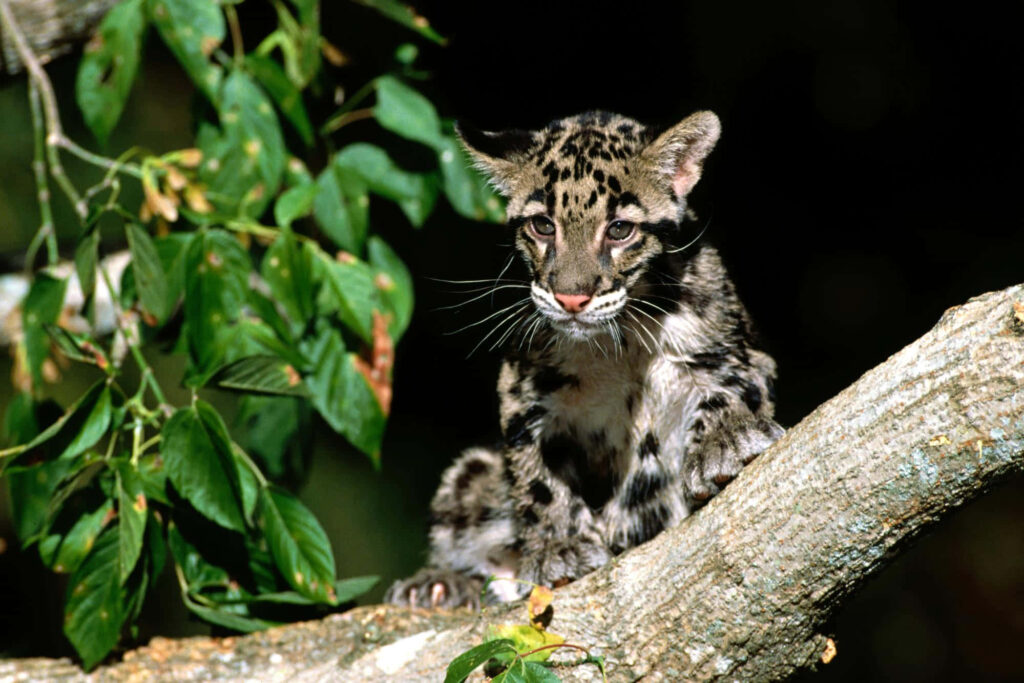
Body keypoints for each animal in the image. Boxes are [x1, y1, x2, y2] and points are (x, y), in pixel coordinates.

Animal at [385, 110, 784, 609]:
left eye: (619, 230)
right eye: (542, 226)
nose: (571, 298)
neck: (621, 342)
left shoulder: (738, 349)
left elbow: (732, 387)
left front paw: (724, 441)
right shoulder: (523, 392)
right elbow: (535, 475)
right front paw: (559, 546)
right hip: (472, 475)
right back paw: (440, 584)